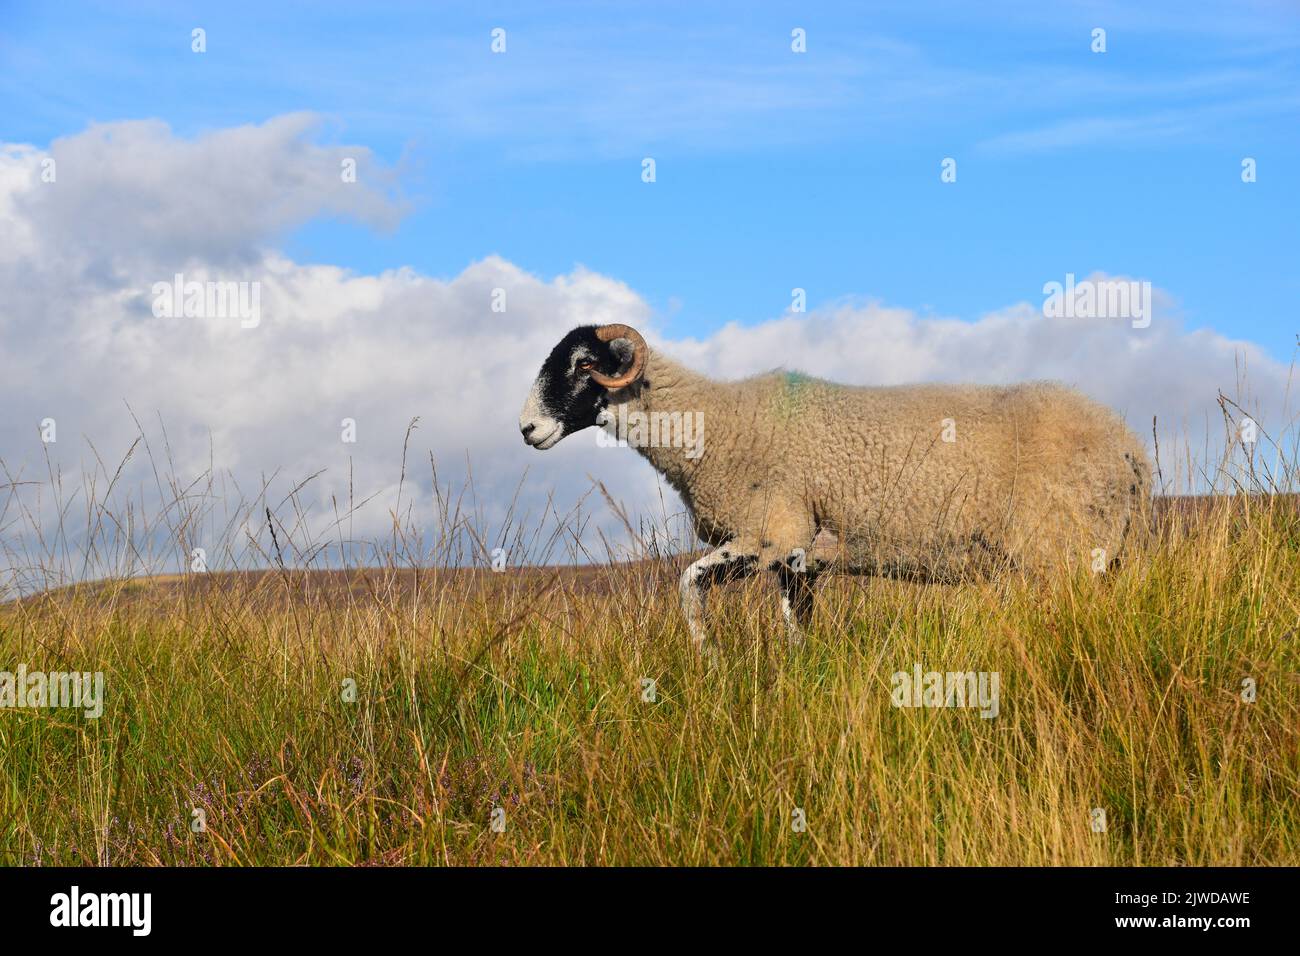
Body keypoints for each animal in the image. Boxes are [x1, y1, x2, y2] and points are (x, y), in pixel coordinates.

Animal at [517, 323, 1149, 650]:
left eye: (582, 362)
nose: (527, 429)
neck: (715, 421)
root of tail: (1128, 446)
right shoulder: (798, 558)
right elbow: (794, 628)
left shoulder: (772, 532)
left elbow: (687, 583)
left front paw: (708, 657)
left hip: (1064, 554)